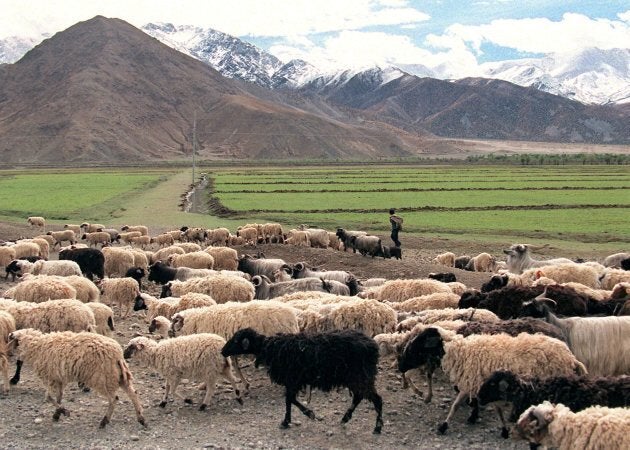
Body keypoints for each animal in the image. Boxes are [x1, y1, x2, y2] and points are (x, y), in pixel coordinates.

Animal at [7, 326, 146, 428]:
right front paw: (57, 414)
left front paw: (64, 411)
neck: (36, 346)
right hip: (118, 375)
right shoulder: (59, 378)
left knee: (114, 399)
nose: (8, 352)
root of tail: (117, 354)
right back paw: (141, 418)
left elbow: (49, 397)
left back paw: (104, 421)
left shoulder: (51, 377)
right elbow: (59, 397)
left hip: (103, 377)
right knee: (133, 394)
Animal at [222, 326, 386, 432]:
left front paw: (298, 417)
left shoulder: (292, 379)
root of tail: (373, 346)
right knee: (359, 396)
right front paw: (294, 418)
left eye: (236, 341)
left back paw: (377, 427)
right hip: (357, 377)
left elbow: (289, 399)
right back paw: (345, 418)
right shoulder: (293, 381)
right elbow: (290, 400)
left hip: (360, 375)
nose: (222, 351)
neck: (269, 348)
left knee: (376, 399)